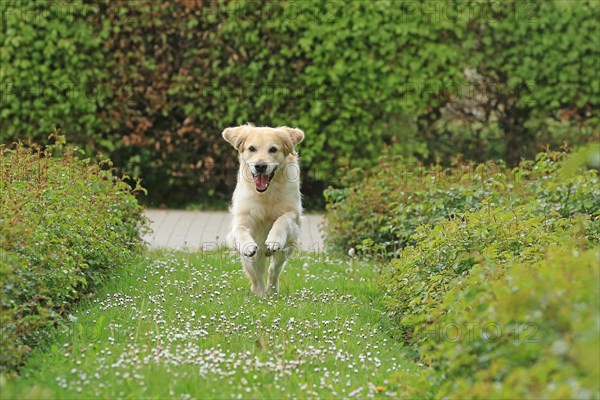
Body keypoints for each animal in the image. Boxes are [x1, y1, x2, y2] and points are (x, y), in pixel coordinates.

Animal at [221, 123, 304, 296]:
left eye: (273, 149)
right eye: (252, 148)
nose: (260, 166)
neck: (266, 193)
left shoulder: (295, 215)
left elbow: (283, 218)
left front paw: (274, 239)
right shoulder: (242, 217)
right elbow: (240, 230)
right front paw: (247, 244)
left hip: (285, 251)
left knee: (274, 270)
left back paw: (271, 291)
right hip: (253, 258)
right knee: (256, 276)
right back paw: (260, 293)